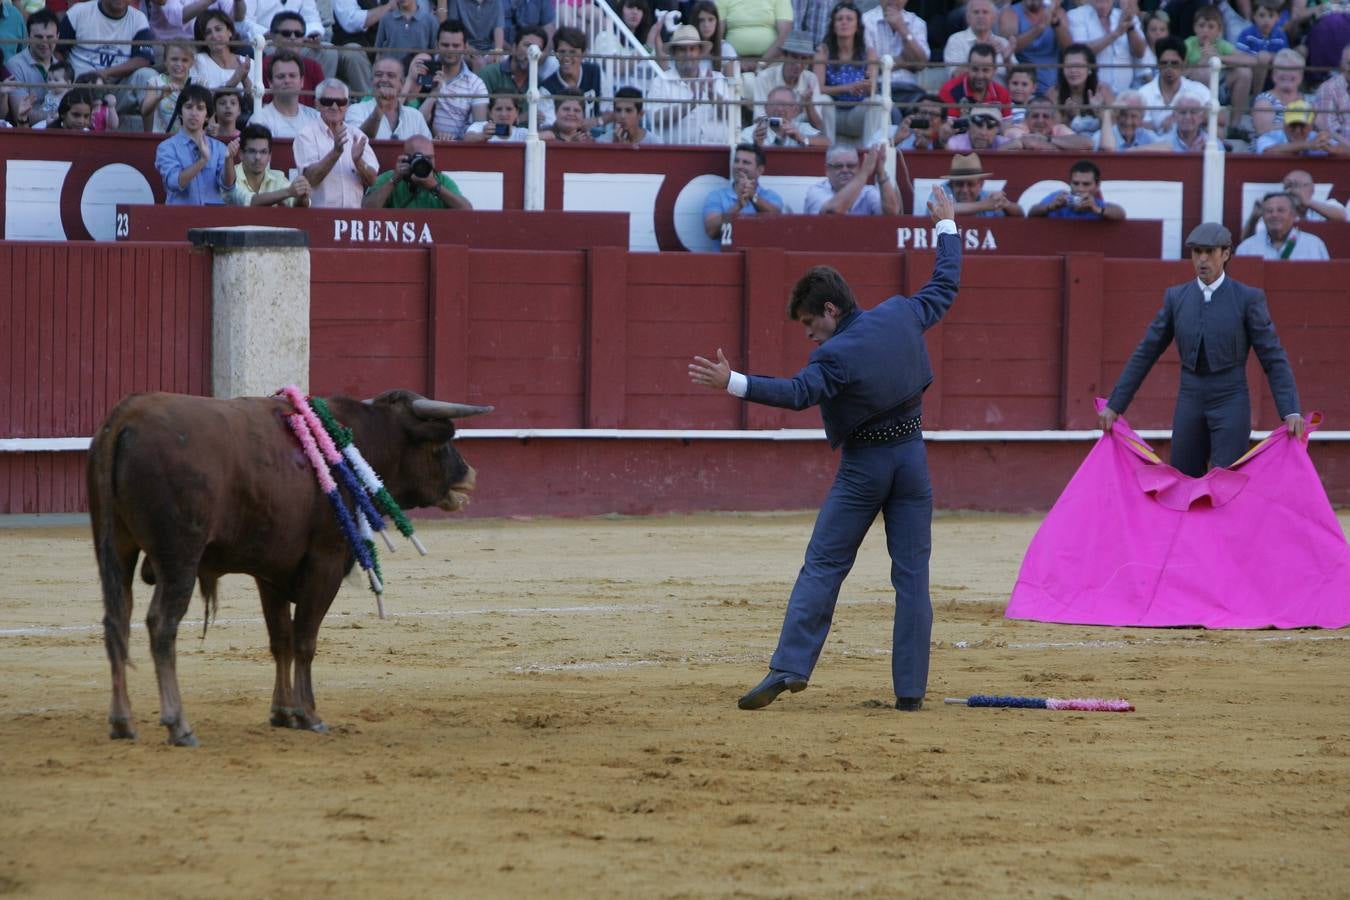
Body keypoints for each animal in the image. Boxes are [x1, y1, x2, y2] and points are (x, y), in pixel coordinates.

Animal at [89, 391, 491, 750]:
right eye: (442, 442)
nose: (470, 474)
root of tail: (126, 417)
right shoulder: (325, 562)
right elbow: (305, 639)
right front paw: (308, 713)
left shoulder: (271, 573)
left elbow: (280, 639)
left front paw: (282, 712)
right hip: (179, 559)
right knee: (161, 625)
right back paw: (179, 725)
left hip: (116, 550)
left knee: (116, 621)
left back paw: (122, 722)